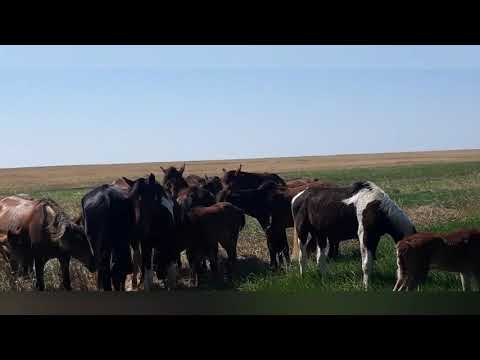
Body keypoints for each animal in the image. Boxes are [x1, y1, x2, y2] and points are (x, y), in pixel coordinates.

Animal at [290, 180, 418, 290]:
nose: (412, 285)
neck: (376, 208)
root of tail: (297, 197)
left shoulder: (375, 237)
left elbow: (371, 261)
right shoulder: (365, 236)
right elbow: (366, 264)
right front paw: (366, 286)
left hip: (320, 235)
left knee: (319, 258)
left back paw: (324, 278)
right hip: (302, 233)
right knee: (302, 256)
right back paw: (303, 277)